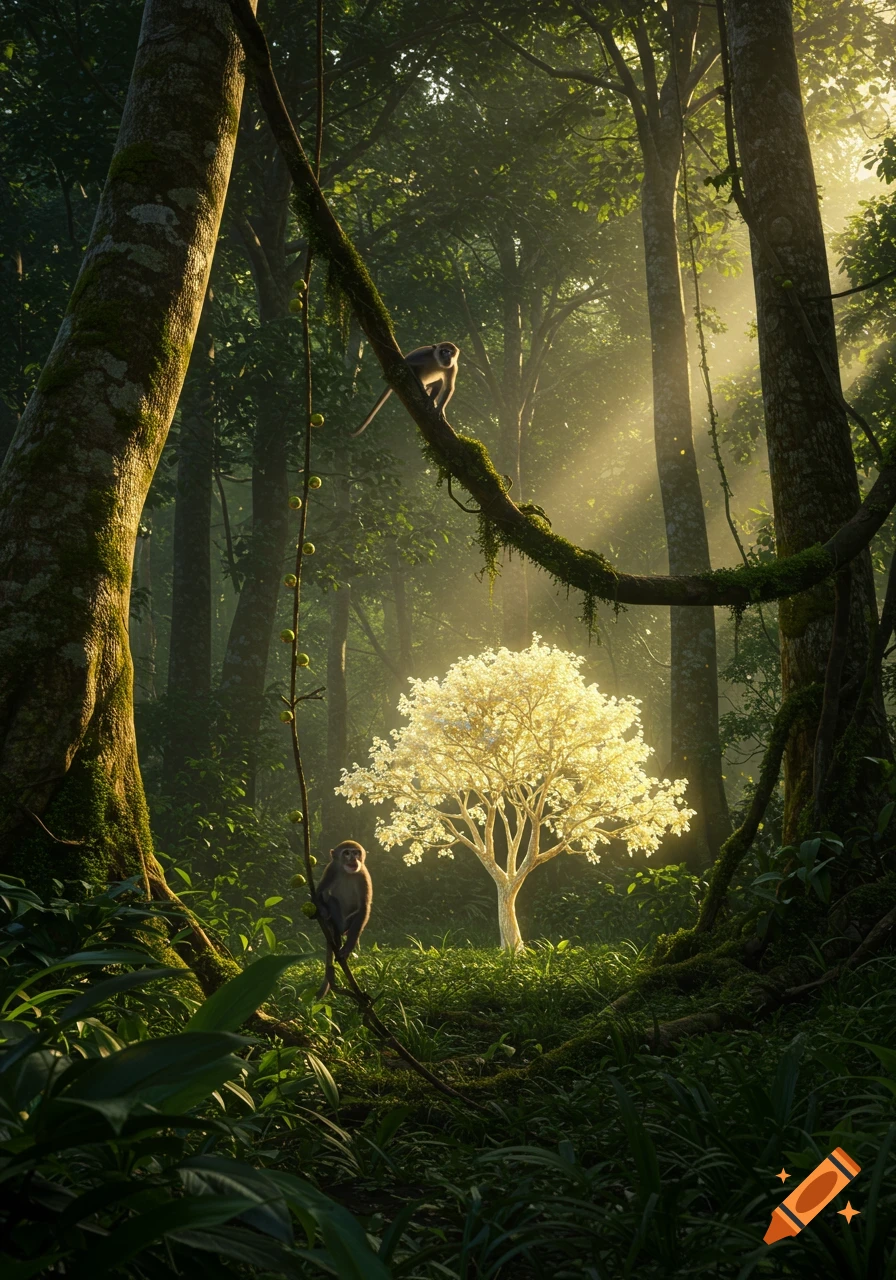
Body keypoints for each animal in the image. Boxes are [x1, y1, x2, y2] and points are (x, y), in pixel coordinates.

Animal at [314, 839, 372, 997]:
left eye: (356, 853)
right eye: (346, 853)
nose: (353, 859)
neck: (347, 873)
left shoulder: (363, 874)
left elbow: (364, 908)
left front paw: (348, 946)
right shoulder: (331, 869)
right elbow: (318, 894)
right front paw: (322, 911)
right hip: (339, 919)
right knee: (331, 899)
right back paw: (332, 927)